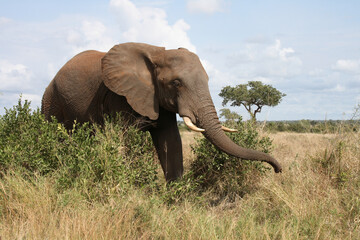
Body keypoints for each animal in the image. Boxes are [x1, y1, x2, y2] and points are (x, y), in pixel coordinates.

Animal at [40, 42, 280, 182]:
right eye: (176, 83)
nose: (278, 170)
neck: (156, 52)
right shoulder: (119, 95)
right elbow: (125, 139)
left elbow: (170, 140)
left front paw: (175, 196)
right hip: (51, 102)